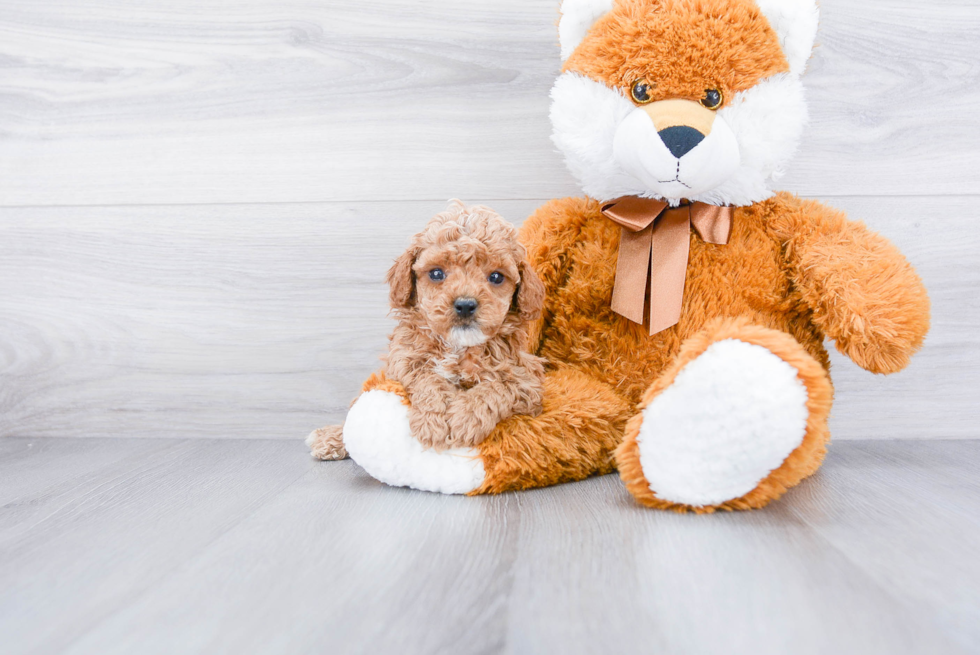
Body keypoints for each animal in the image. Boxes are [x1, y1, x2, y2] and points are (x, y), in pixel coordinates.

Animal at [308, 200, 544, 462]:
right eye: (436, 273)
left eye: (496, 277)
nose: (465, 304)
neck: (457, 347)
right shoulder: (404, 360)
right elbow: (427, 379)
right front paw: (434, 422)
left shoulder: (527, 379)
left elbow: (496, 387)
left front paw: (464, 418)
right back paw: (331, 437)